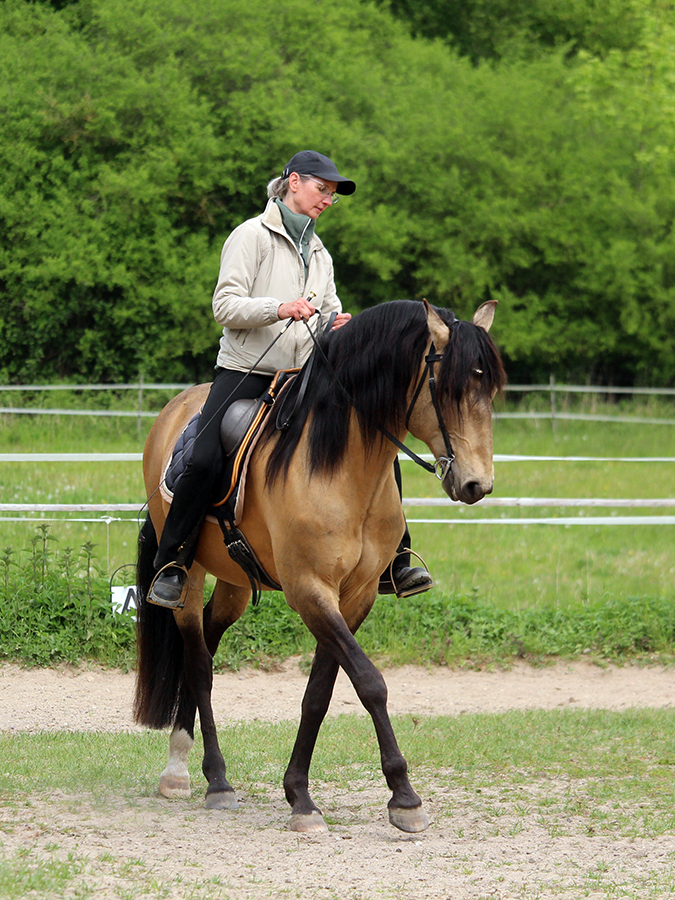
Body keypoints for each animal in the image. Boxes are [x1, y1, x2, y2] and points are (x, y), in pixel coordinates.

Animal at [133, 298, 506, 834]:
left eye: (490, 390)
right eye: (449, 389)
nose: (478, 485)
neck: (339, 466)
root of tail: (176, 409)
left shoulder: (355, 597)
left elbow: (321, 692)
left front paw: (300, 794)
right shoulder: (309, 590)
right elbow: (370, 682)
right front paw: (404, 797)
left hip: (234, 584)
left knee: (207, 639)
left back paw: (186, 764)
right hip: (188, 574)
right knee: (199, 661)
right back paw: (211, 779)